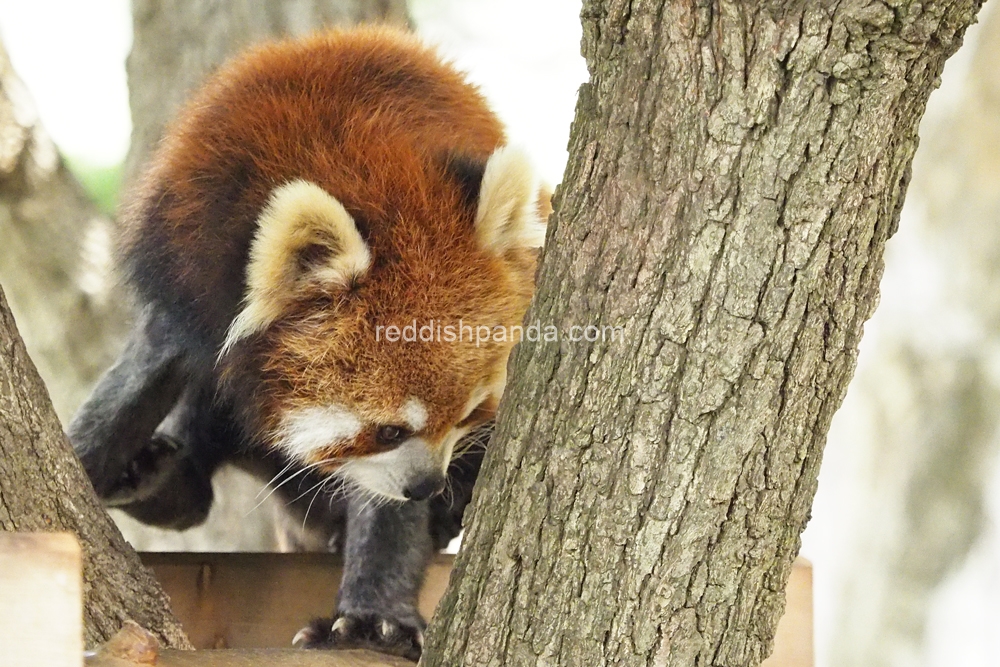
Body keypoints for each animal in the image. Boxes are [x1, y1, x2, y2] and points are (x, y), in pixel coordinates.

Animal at [70, 24, 552, 656]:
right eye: (389, 429)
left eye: (469, 414)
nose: (427, 486)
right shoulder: (186, 261)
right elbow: (148, 371)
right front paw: (84, 457)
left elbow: (382, 507)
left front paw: (373, 620)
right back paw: (157, 477)